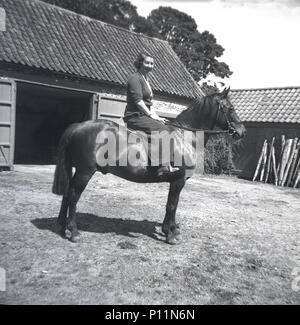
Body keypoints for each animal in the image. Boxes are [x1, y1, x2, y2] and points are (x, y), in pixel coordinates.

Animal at [51, 87, 245, 244]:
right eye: (231, 108)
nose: (242, 131)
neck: (184, 137)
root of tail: (77, 126)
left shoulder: (176, 181)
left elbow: (172, 205)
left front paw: (170, 229)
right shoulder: (178, 180)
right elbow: (171, 206)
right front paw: (170, 235)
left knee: (67, 194)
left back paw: (61, 227)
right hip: (85, 172)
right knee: (73, 196)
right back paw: (74, 232)